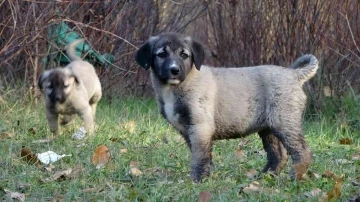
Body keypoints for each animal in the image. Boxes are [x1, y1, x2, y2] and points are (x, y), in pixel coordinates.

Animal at [136, 32, 320, 182]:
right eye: (161, 54)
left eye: (184, 55)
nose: (174, 70)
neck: (177, 86)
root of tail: (295, 75)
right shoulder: (189, 132)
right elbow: (204, 156)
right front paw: (206, 177)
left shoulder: (200, 126)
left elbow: (198, 157)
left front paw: (197, 180)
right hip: (268, 128)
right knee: (278, 156)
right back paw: (264, 177)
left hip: (284, 122)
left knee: (303, 151)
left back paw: (295, 176)